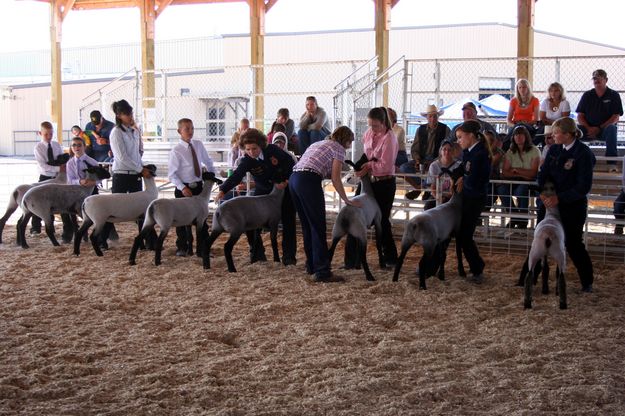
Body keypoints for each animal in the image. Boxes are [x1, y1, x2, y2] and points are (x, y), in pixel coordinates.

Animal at [326, 154, 386, 282]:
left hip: (337, 231)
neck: (367, 192)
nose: (365, 154)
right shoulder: (377, 221)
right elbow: (378, 243)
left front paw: (357, 266)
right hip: (361, 232)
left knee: (330, 251)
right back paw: (369, 276)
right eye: (364, 160)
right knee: (363, 255)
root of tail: (345, 217)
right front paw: (382, 264)